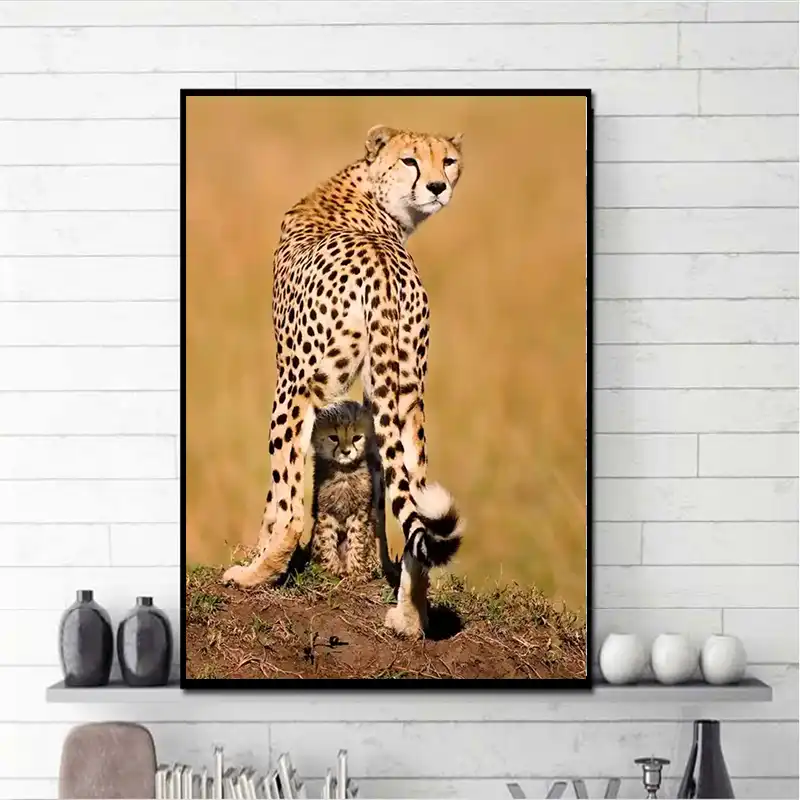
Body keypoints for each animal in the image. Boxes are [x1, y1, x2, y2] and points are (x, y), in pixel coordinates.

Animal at [222, 123, 466, 639]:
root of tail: (380, 264)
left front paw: (259, 560)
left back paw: (255, 575)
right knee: (415, 499)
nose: (438, 186)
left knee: (291, 506)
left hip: (296, 387)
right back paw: (409, 617)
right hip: (407, 394)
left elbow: (277, 499)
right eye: (412, 160)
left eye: (448, 161)